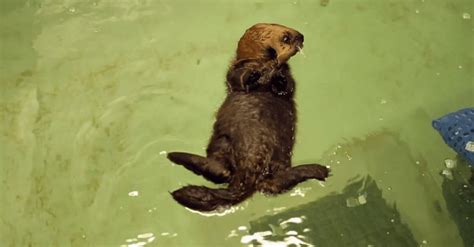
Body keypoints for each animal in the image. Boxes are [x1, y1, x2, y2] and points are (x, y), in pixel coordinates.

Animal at [168, 23, 330, 211]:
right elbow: (238, 79)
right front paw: (253, 74)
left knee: (269, 182)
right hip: (222, 142)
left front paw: (278, 75)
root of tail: (249, 170)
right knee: (225, 173)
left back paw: (318, 169)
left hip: (277, 157)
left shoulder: (288, 81)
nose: (302, 36)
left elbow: (287, 87)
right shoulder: (235, 71)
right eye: (286, 37)